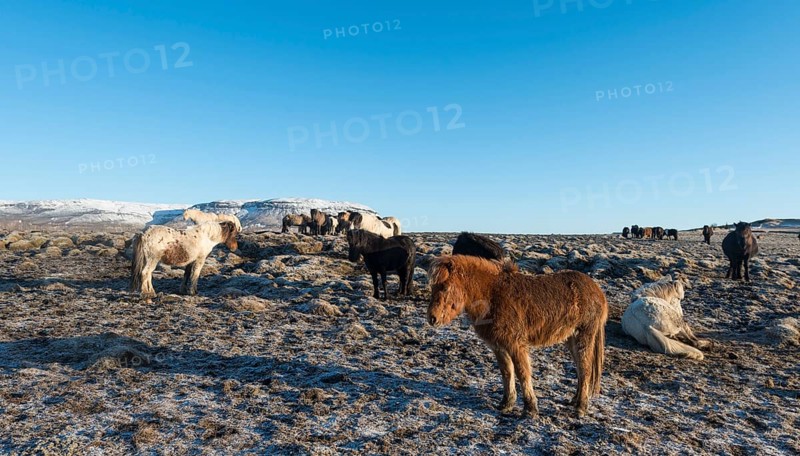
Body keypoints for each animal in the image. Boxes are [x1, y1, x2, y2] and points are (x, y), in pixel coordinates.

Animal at [427, 255, 608, 417]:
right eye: (433, 287)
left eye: (445, 287)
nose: (432, 318)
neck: (492, 295)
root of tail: (597, 291)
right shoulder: (498, 346)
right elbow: (506, 372)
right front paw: (506, 404)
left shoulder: (515, 344)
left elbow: (522, 372)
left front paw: (530, 409)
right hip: (571, 338)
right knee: (579, 367)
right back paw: (575, 400)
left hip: (584, 336)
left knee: (585, 368)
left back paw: (581, 408)